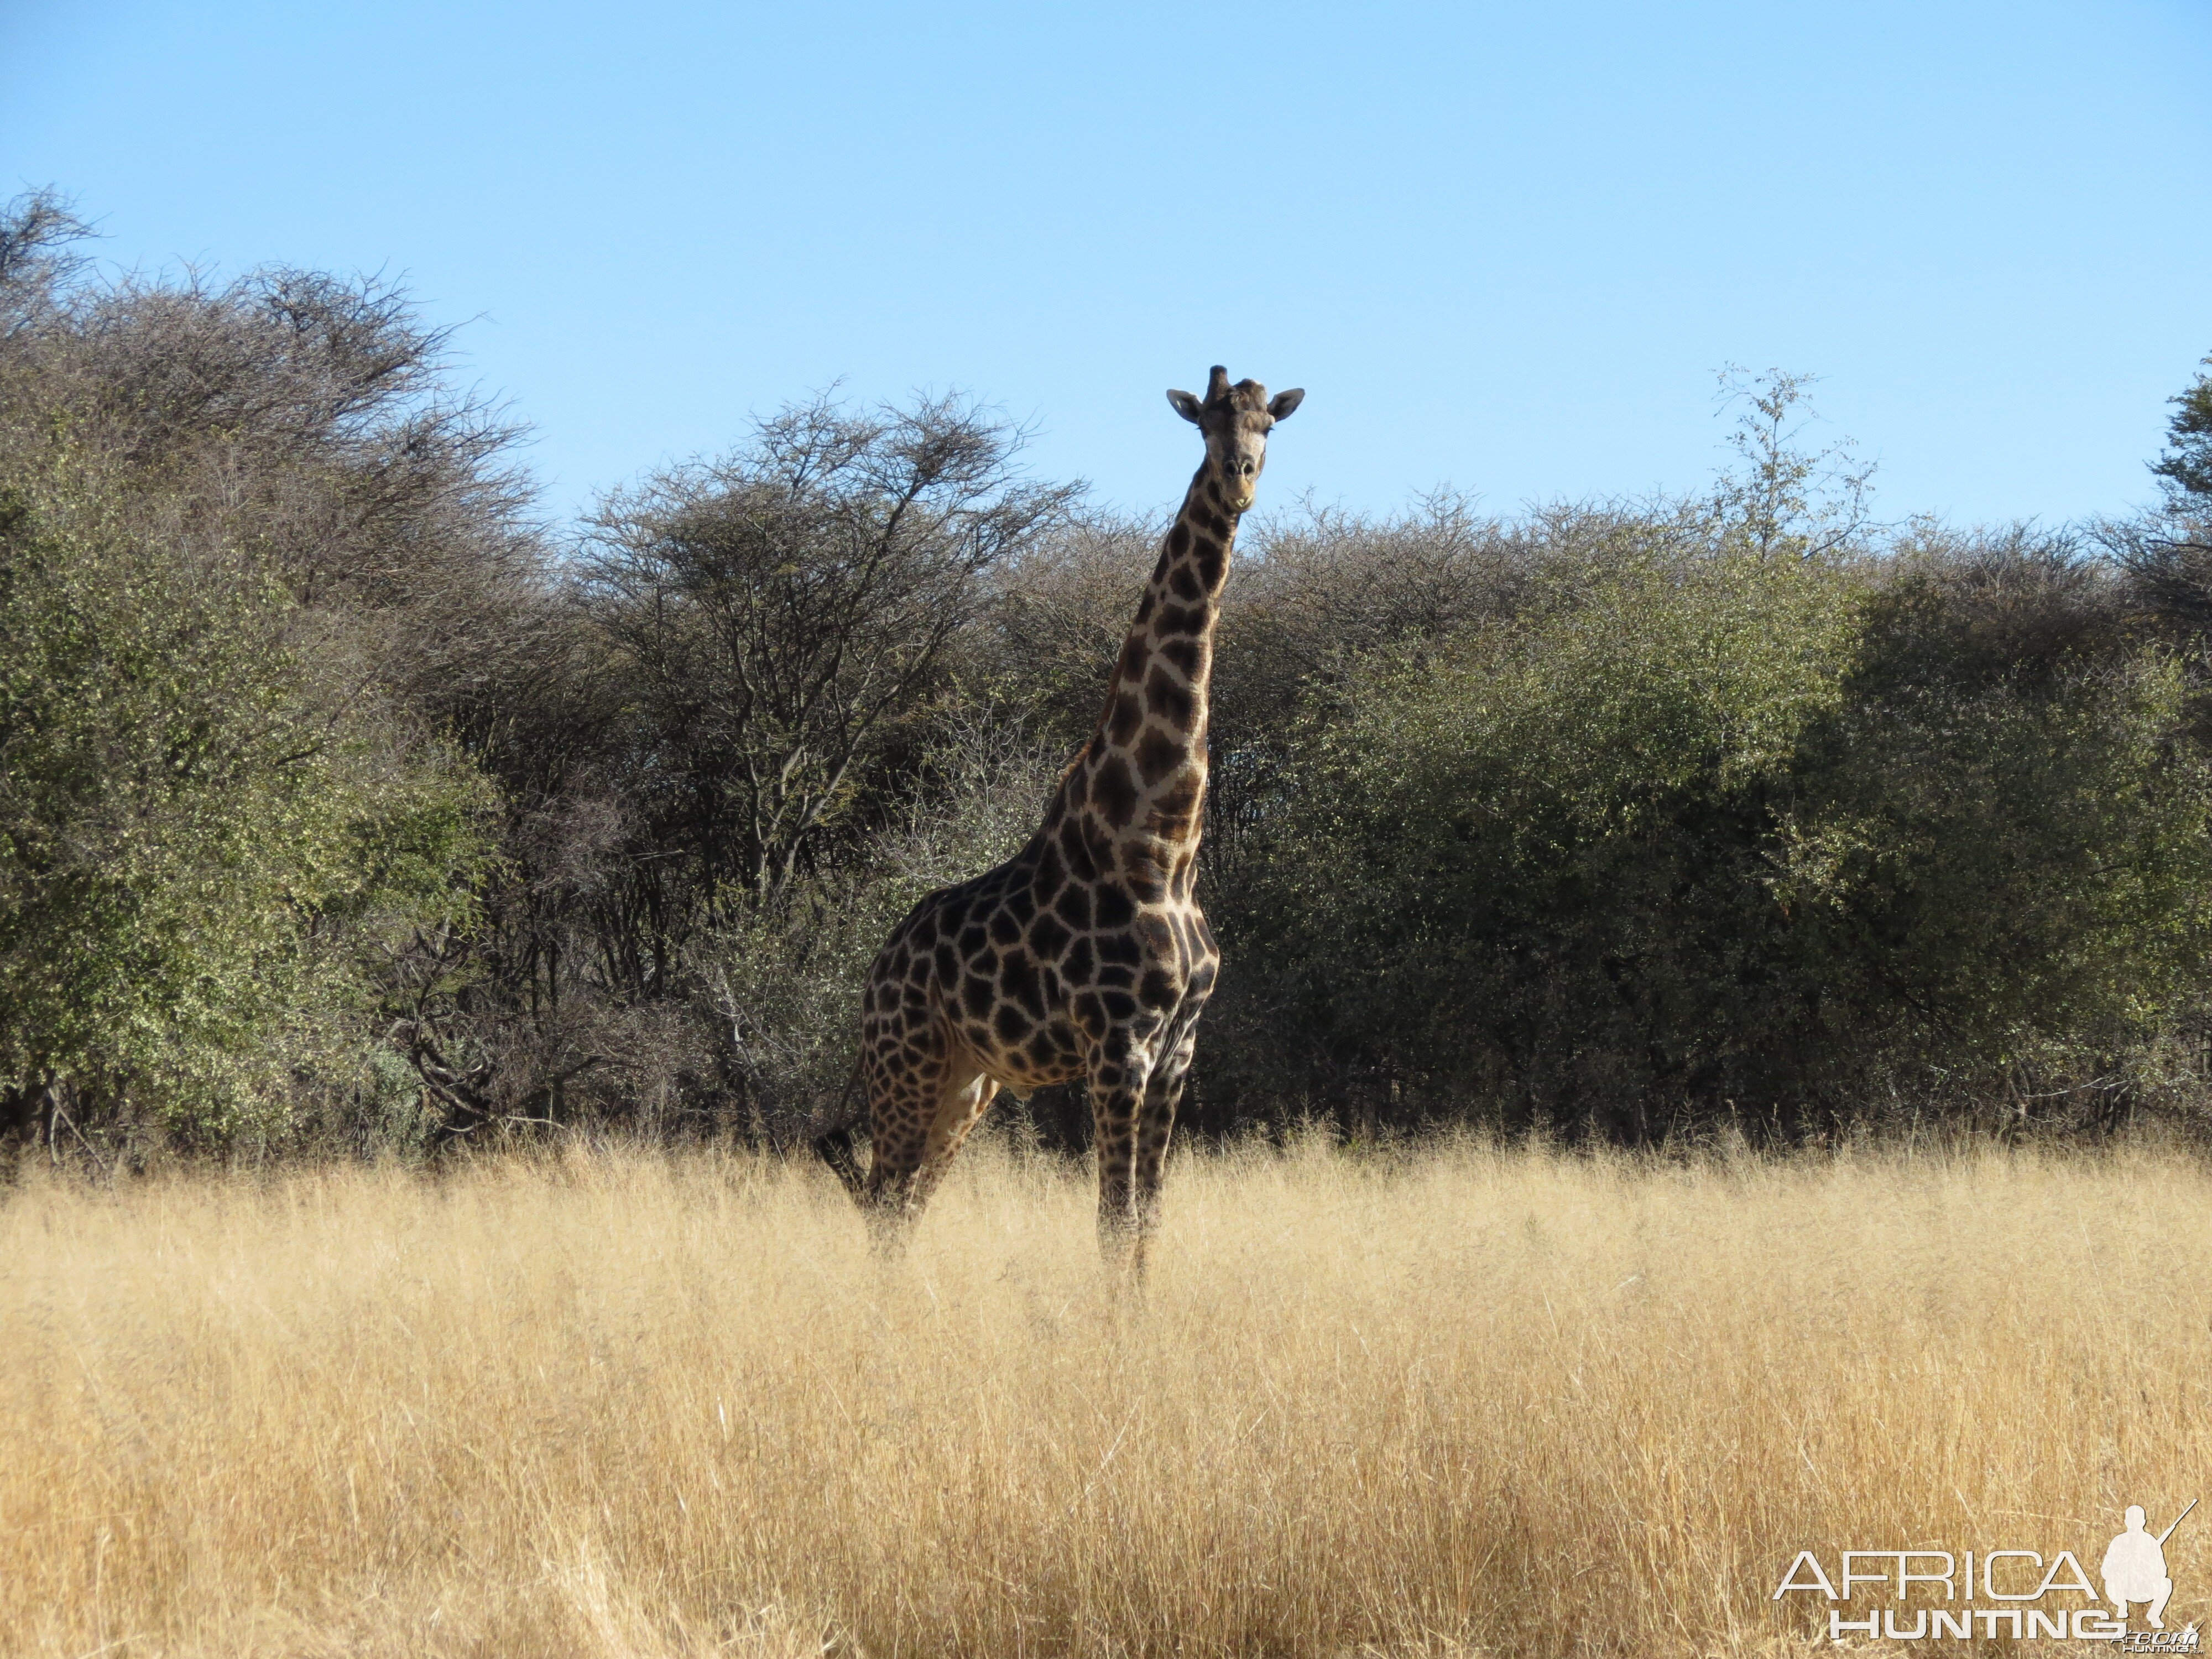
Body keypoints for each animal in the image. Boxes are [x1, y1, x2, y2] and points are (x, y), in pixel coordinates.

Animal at [814, 369, 1292, 1265]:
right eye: (1205, 424)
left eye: (1266, 425)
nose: (1240, 478)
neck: (1163, 842)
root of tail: (877, 968)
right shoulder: (1117, 1044)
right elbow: (1111, 1221)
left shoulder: (1177, 1049)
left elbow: (1147, 1220)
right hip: (908, 1063)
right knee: (886, 1203)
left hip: (969, 1083)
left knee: (906, 1203)